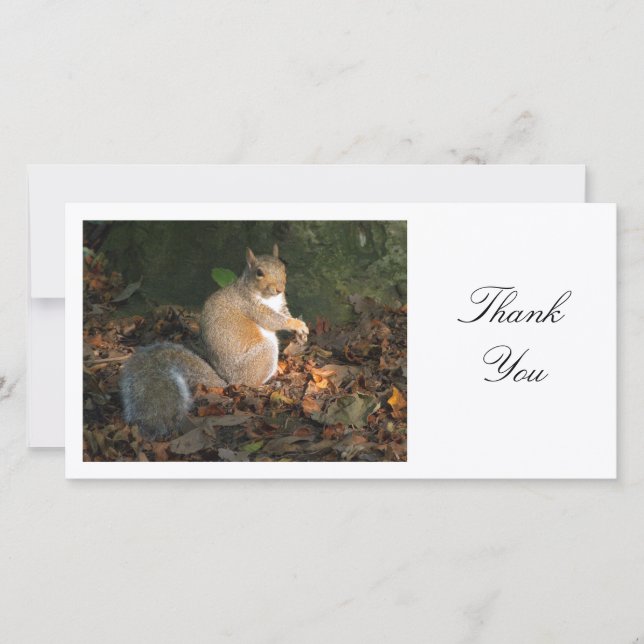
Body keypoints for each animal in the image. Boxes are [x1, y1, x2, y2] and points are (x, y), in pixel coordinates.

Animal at [119, 244, 309, 440]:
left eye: (283, 268)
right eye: (259, 272)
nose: (279, 288)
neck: (268, 297)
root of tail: (228, 381)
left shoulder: (280, 305)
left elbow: (284, 314)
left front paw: (301, 331)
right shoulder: (251, 306)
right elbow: (273, 320)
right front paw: (295, 324)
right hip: (263, 354)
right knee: (251, 382)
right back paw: (267, 382)